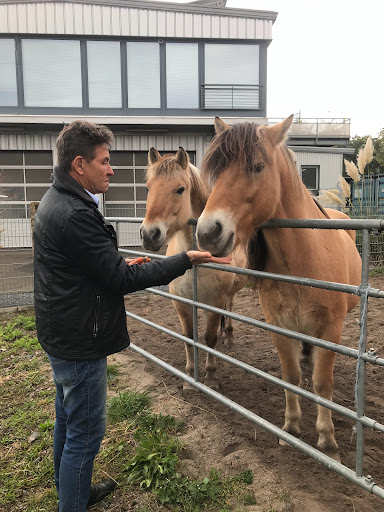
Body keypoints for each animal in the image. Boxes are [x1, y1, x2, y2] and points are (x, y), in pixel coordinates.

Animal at [140, 147, 246, 388]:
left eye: (180, 189)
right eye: (148, 188)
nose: (149, 234)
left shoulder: (214, 302)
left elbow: (209, 338)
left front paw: (211, 376)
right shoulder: (182, 303)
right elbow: (189, 337)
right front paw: (189, 376)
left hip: (229, 294)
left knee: (229, 308)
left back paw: (229, 335)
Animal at [196, 116, 362, 460]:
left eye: (258, 167)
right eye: (217, 170)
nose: (207, 233)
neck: (304, 260)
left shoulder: (331, 329)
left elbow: (322, 384)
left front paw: (328, 441)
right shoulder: (280, 327)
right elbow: (291, 377)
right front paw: (291, 427)